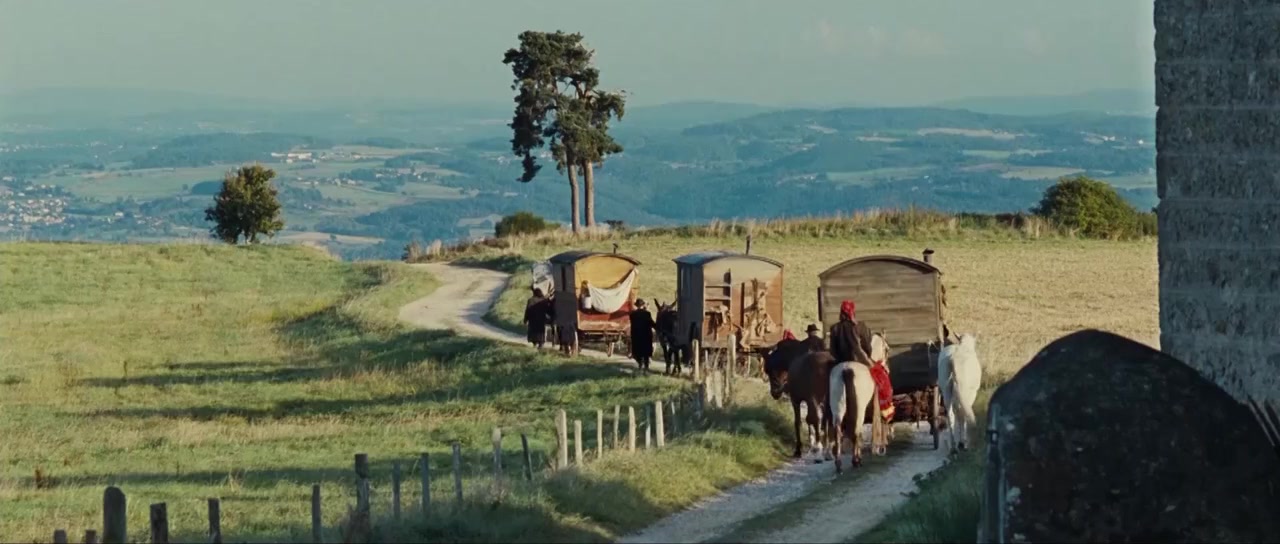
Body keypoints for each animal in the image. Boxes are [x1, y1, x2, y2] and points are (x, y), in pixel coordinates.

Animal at [829, 332, 892, 474]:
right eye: (887, 349)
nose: (887, 369)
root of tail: (846, 370)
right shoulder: (875, 407)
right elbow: (874, 426)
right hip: (860, 409)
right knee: (856, 430)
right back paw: (856, 460)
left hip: (837, 408)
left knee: (838, 430)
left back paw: (839, 464)